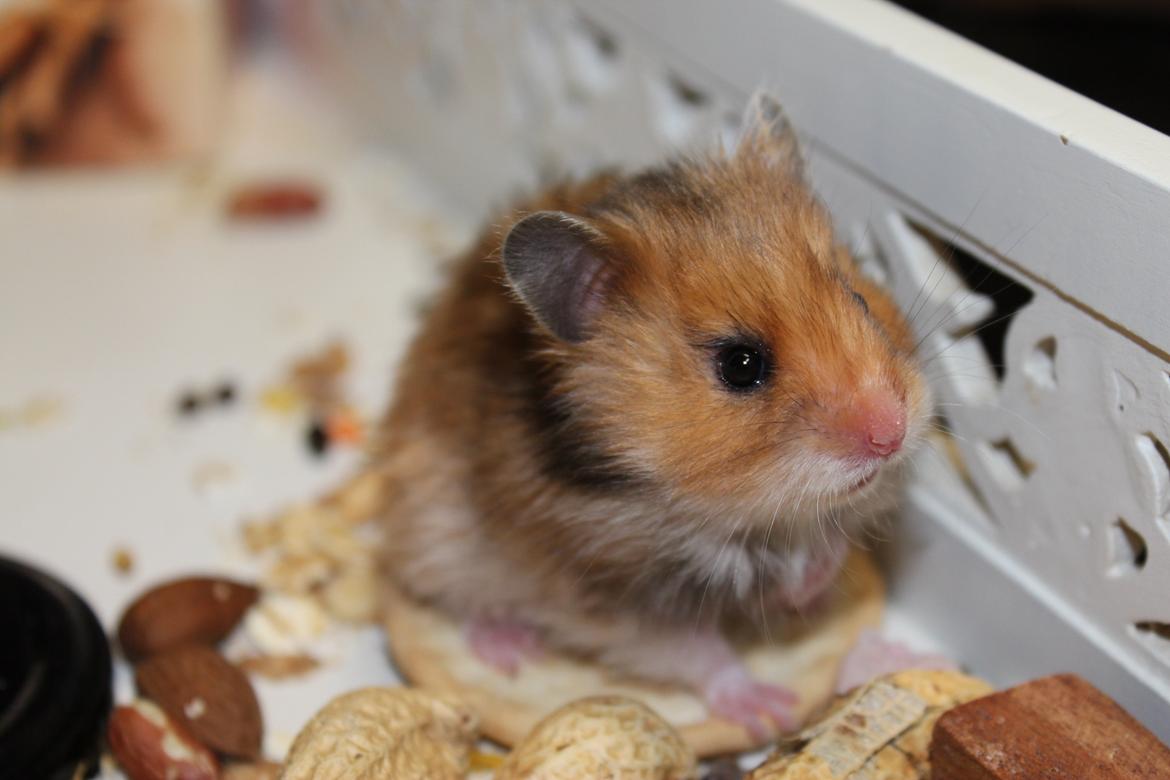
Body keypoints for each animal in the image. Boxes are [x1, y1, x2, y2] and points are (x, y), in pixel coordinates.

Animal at [367, 94, 930, 736]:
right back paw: (509, 650)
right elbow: (697, 650)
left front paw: (811, 588)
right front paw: (768, 709)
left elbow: (828, 553)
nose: (892, 434)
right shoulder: (612, 597)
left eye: (861, 300)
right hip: (437, 530)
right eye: (740, 364)